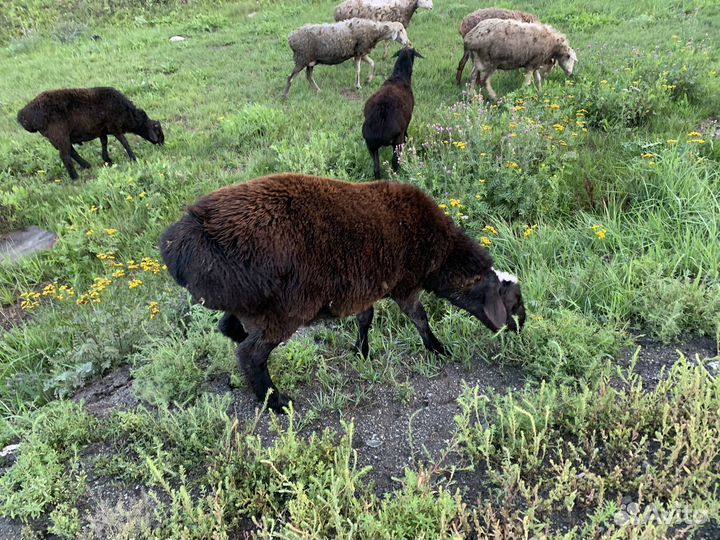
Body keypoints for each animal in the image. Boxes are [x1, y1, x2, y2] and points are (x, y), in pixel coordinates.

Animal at [16, 87, 164, 180]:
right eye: (157, 130)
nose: (162, 143)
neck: (128, 114)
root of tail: (25, 115)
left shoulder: (101, 129)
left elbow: (104, 141)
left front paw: (107, 159)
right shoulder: (114, 125)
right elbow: (124, 141)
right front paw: (133, 157)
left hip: (57, 137)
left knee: (71, 151)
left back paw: (86, 165)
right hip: (59, 133)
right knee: (65, 156)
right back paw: (75, 177)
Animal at [160, 173, 526, 412]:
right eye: (514, 302)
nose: (522, 326)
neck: (443, 252)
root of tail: (180, 243)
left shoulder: (367, 286)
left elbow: (366, 317)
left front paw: (361, 351)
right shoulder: (405, 285)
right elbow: (419, 318)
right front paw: (438, 348)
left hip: (251, 303)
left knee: (229, 327)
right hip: (284, 311)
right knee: (251, 354)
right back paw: (274, 401)